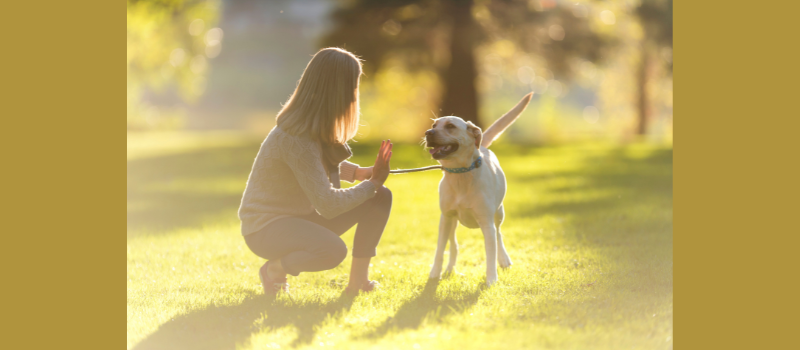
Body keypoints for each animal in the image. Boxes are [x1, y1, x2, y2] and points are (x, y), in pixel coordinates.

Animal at [424, 93, 532, 288]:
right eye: (434, 125)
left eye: (450, 126)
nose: (427, 133)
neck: (460, 174)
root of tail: (481, 146)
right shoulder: (446, 217)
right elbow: (439, 250)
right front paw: (434, 275)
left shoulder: (486, 222)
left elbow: (490, 253)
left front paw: (491, 280)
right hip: (452, 222)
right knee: (454, 244)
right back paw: (450, 269)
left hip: (499, 213)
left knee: (499, 235)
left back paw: (504, 259)